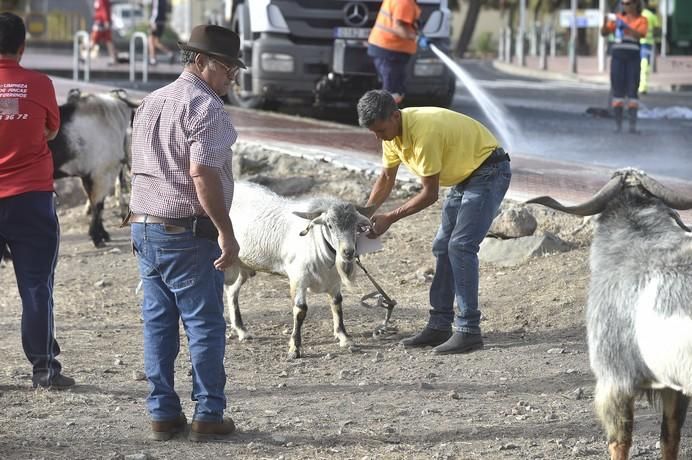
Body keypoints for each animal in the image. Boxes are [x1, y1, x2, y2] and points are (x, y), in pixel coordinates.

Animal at [223, 182, 374, 360]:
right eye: (330, 225)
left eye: (356, 226)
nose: (348, 252)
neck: (317, 243)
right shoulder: (298, 279)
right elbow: (301, 310)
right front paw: (295, 347)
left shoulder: (334, 282)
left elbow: (337, 304)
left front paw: (344, 337)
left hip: (242, 266)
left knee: (232, 291)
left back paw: (242, 331)